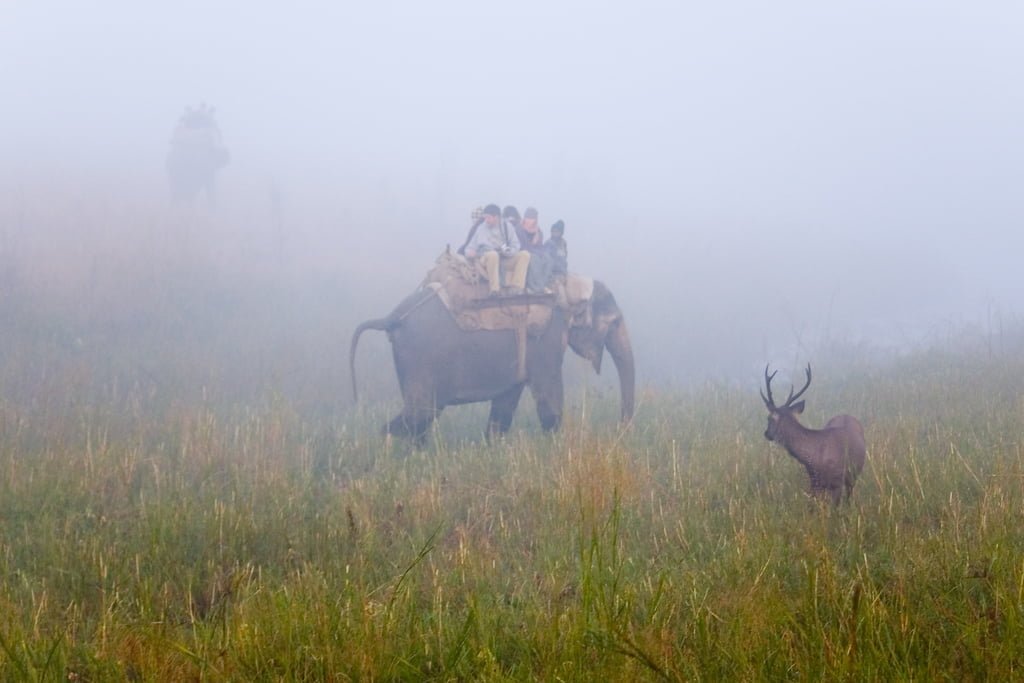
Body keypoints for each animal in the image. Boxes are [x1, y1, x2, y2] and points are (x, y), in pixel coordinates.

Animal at [356, 280, 634, 440]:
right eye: (615, 322)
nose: (620, 429)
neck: (568, 288)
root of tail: (392, 317)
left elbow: (505, 403)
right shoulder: (546, 342)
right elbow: (548, 401)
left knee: (421, 419)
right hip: (420, 360)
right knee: (420, 414)